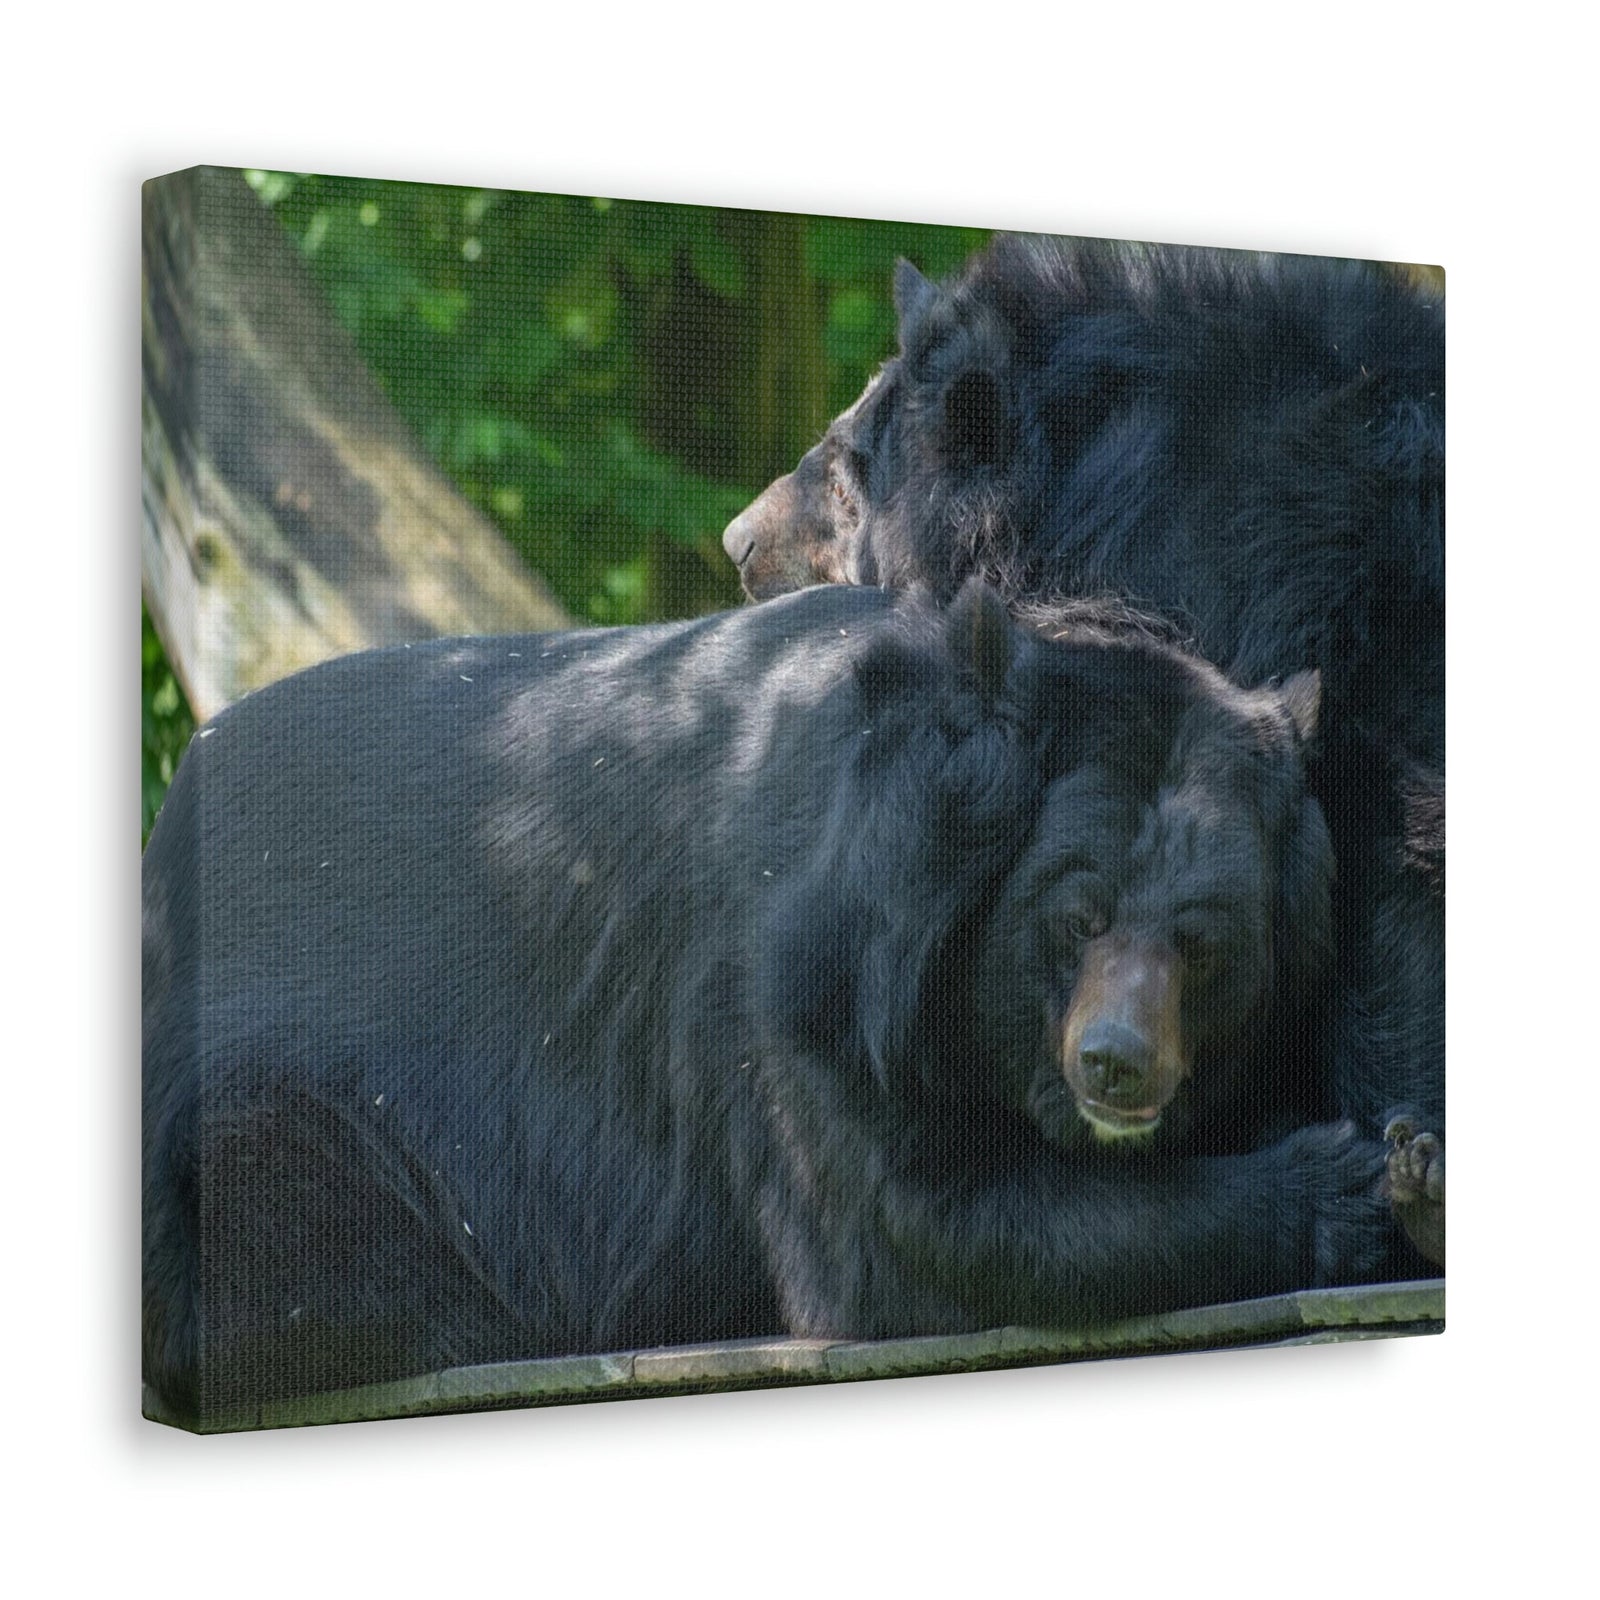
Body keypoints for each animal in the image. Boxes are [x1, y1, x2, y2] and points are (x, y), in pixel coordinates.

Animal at [142, 580, 1394, 1426]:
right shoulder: (793, 979)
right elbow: (909, 1232)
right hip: (283, 1107)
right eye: (1075, 916)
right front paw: (1344, 1185)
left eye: (1204, 943)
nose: (1118, 1063)